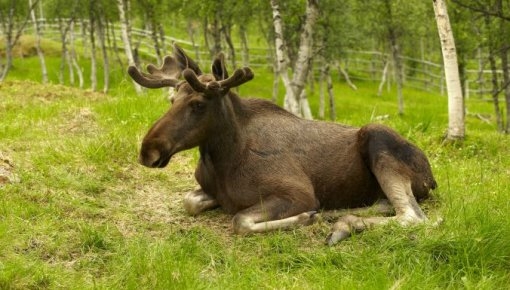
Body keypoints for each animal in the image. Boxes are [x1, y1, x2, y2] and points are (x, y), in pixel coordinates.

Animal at [129, 44, 436, 246]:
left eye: (198, 104)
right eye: (172, 100)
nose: (148, 151)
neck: (222, 158)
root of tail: (432, 179)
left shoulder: (298, 193)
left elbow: (239, 221)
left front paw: (304, 218)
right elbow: (190, 201)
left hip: (377, 135)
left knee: (413, 216)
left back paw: (341, 223)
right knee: (388, 205)